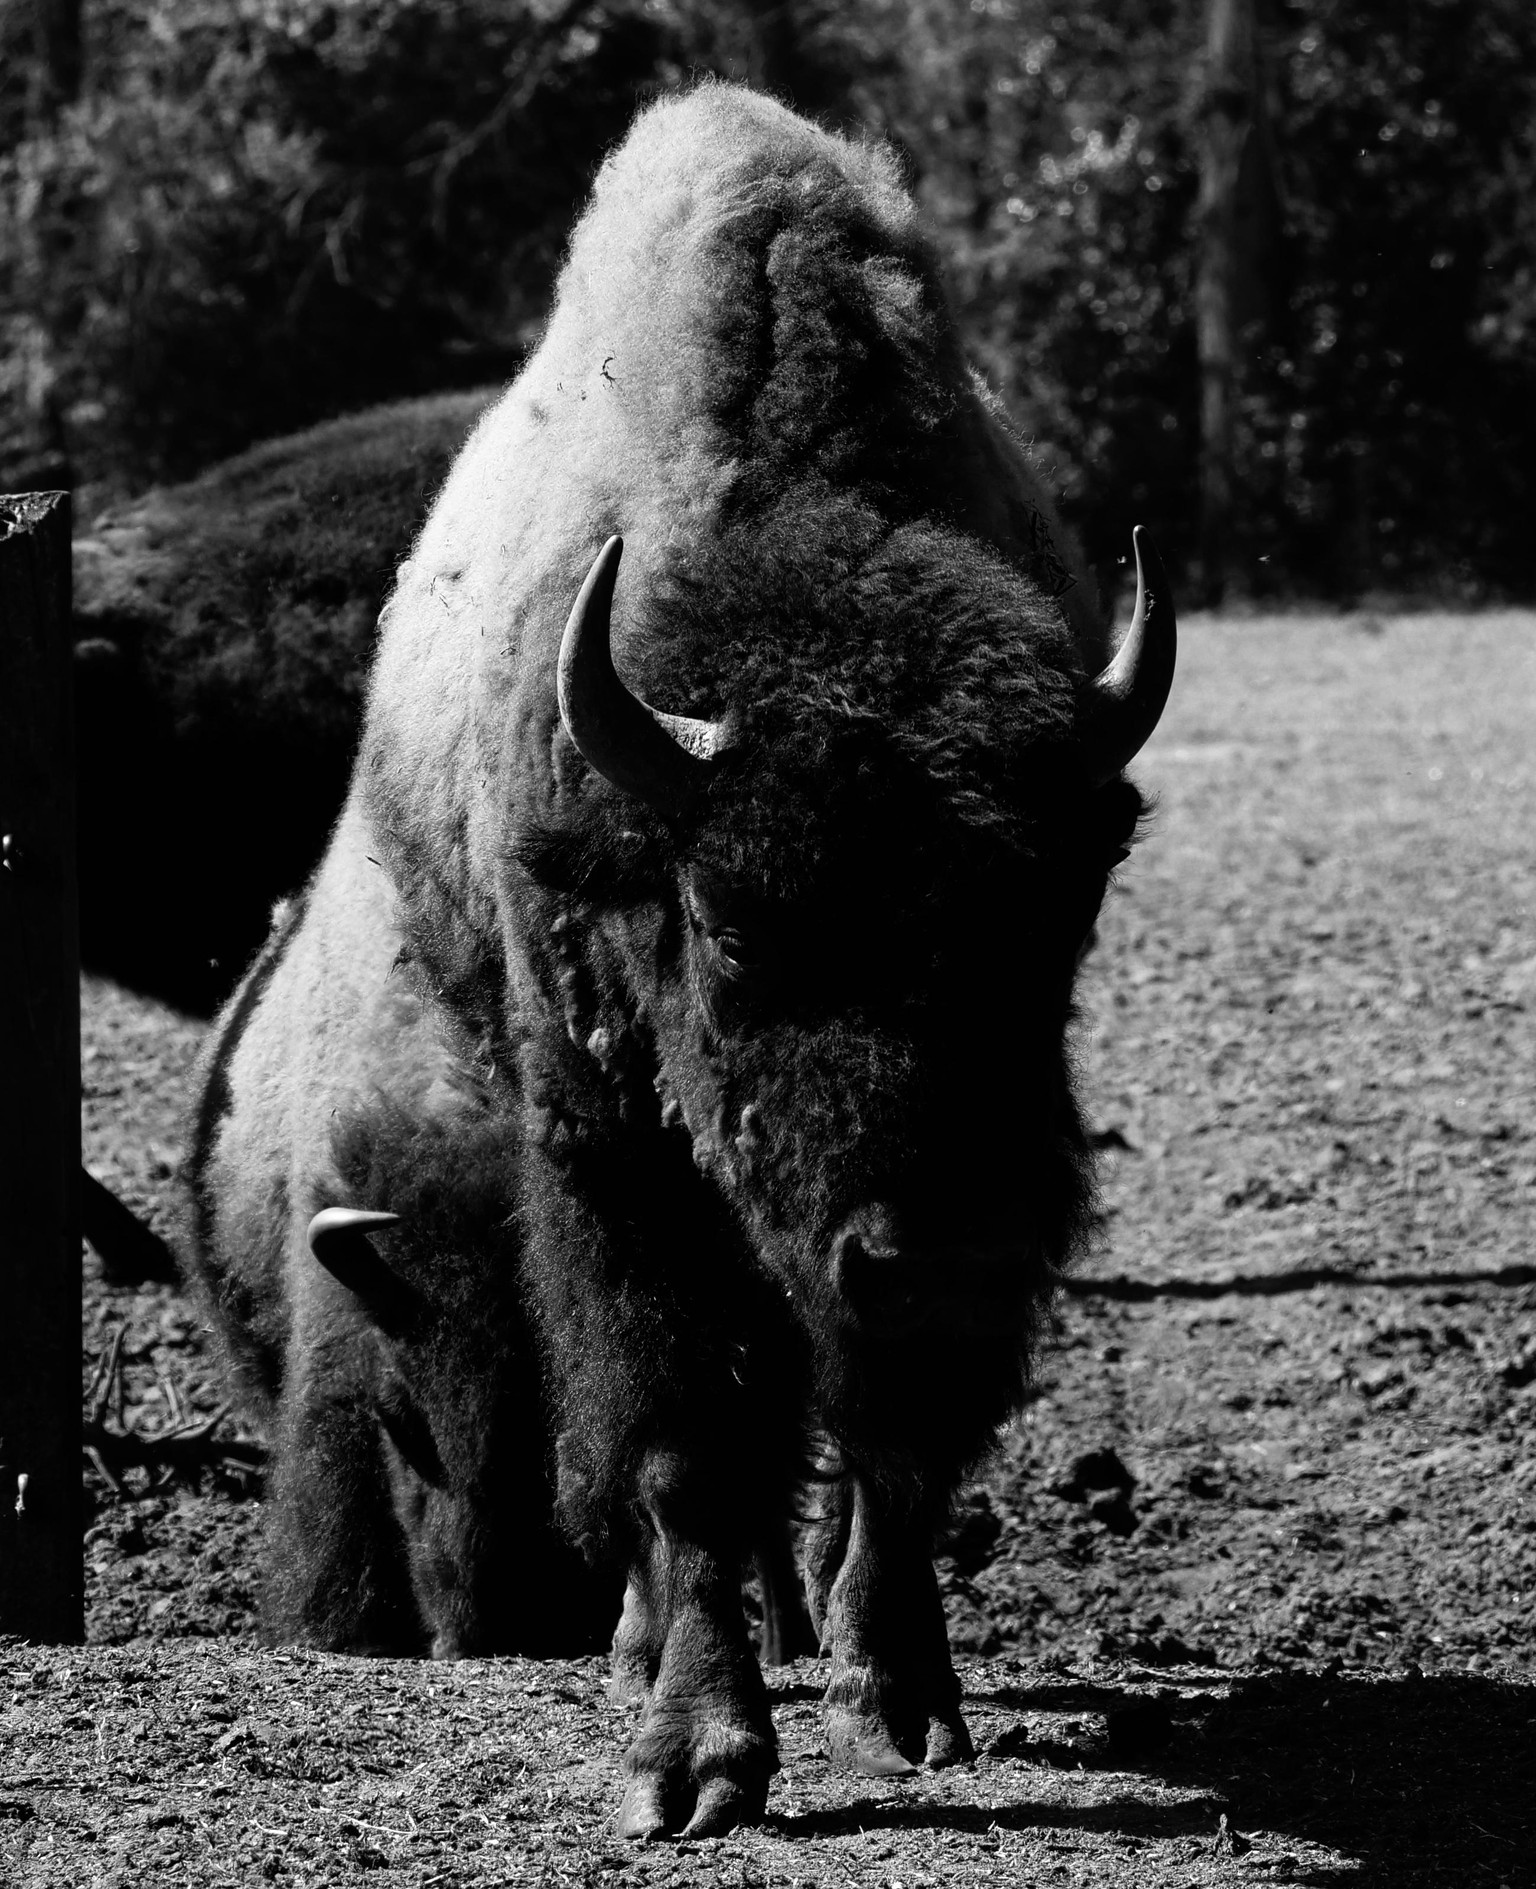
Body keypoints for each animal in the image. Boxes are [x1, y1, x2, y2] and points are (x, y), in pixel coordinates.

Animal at [184, 83, 1174, 1839]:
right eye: (724, 920)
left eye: (1065, 911)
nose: (943, 1246)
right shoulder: (623, 1159)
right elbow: (679, 1438)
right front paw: (694, 1761)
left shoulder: (884, 1279)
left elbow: (891, 1442)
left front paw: (905, 1697)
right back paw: (658, 1645)